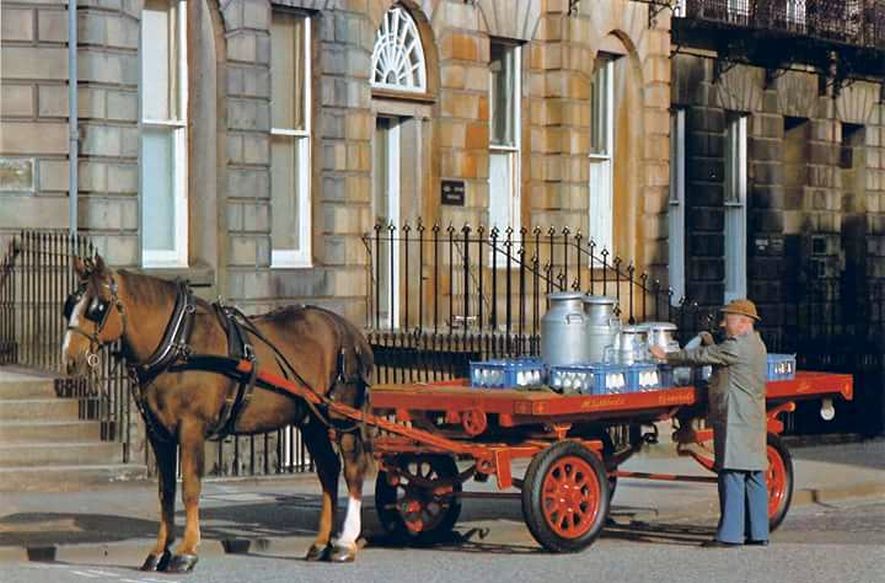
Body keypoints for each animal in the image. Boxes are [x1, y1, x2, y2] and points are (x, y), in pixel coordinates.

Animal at [61, 254, 372, 572]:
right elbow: (166, 492)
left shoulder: (191, 428)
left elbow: (190, 487)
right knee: (328, 469)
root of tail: (350, 330)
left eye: (97, 308)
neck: (178, 344)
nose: (69, 360)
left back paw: (344, 542)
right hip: (311, 420)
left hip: (342, 417)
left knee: (353, 469)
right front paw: (160, 551)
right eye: (69, 305)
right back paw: (322, 543)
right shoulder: (158, 433)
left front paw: (186, 551)